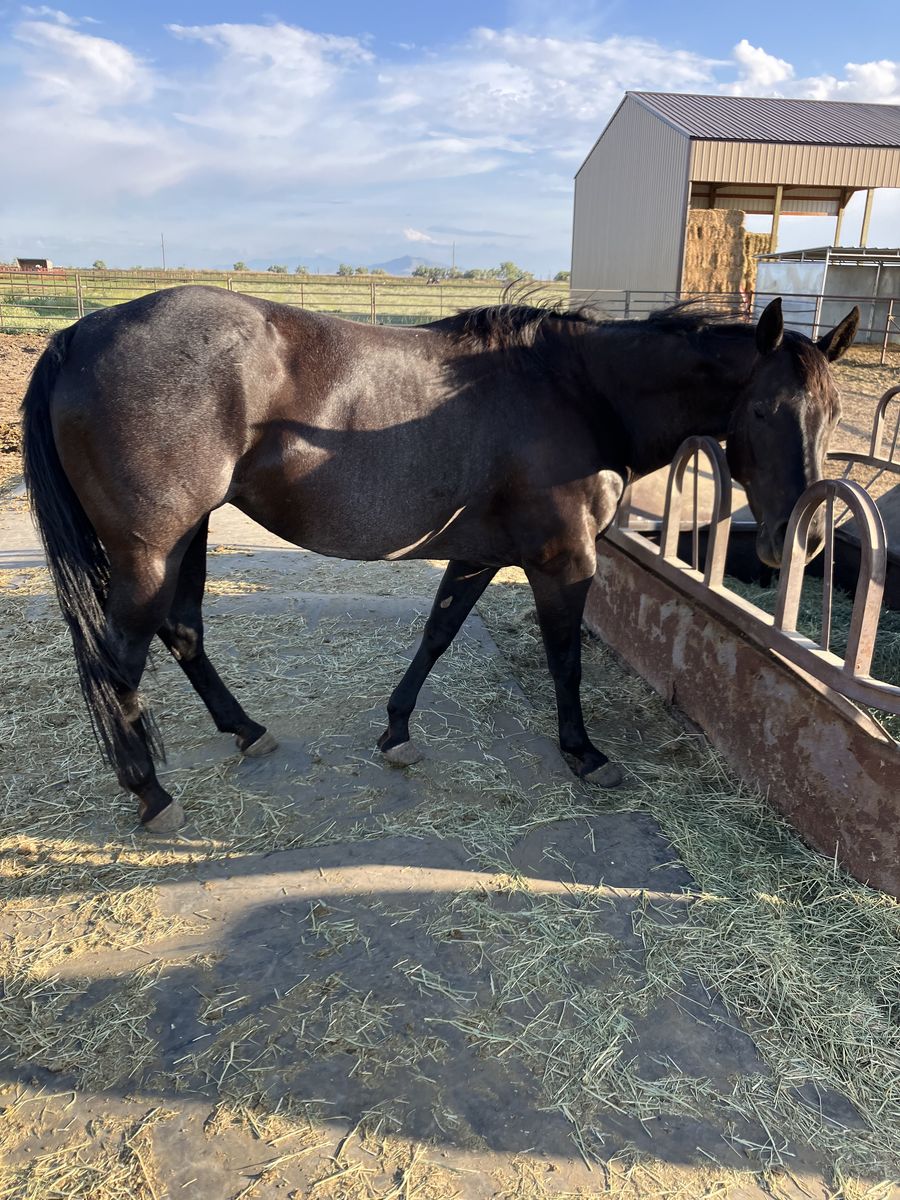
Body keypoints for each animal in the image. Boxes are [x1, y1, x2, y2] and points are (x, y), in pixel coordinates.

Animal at [21, 287, 858, 832]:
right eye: (762, 410)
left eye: (833, 413)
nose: (802, 542)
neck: (576, 392)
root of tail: (81, 335)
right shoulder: (563, 561)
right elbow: (564, 662)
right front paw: (584, 753)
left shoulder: (480, 555)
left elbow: (438, 634)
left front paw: (396, 731)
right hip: (150, 550)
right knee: (119, 661)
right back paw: (150, 793)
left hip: (186, 539)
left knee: (183, 631)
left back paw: (245, 729)